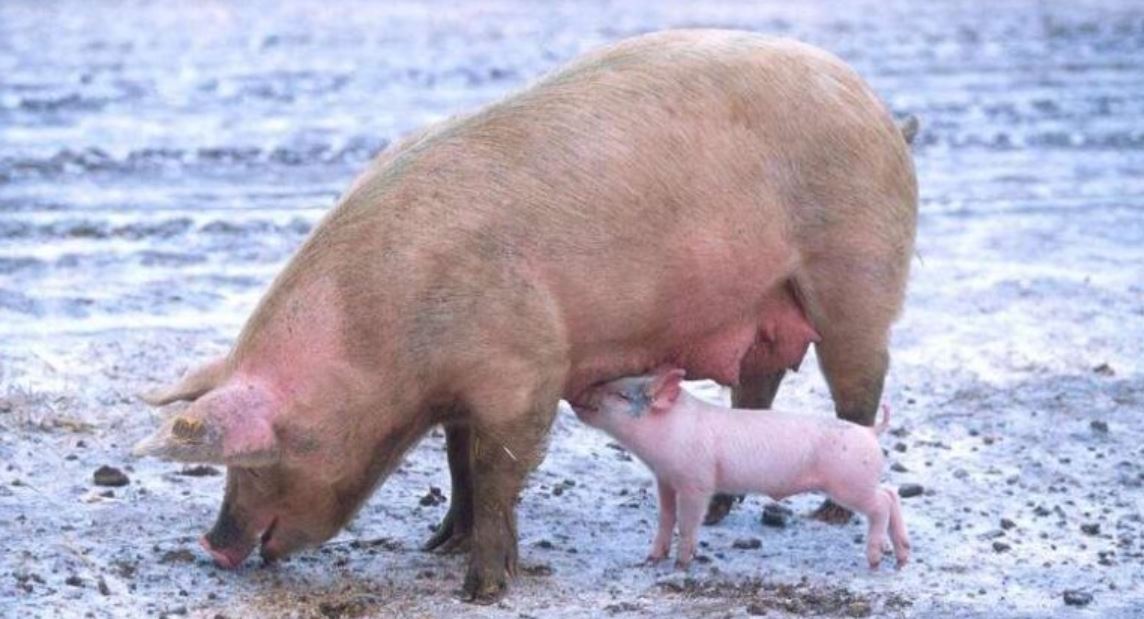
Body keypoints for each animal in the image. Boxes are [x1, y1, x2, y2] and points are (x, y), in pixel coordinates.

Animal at [572, 368, 910, 570]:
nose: (577, 394)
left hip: (849, 483)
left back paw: (875, 560)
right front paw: (652, 559)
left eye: (620, 395)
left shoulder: (696, 481)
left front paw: (681, 565)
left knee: (881, 504)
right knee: (891, 492)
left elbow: (688, 522)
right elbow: (666, 518)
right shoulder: (665, 479)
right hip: (861, 480)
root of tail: (870, 432)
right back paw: (903, 555)